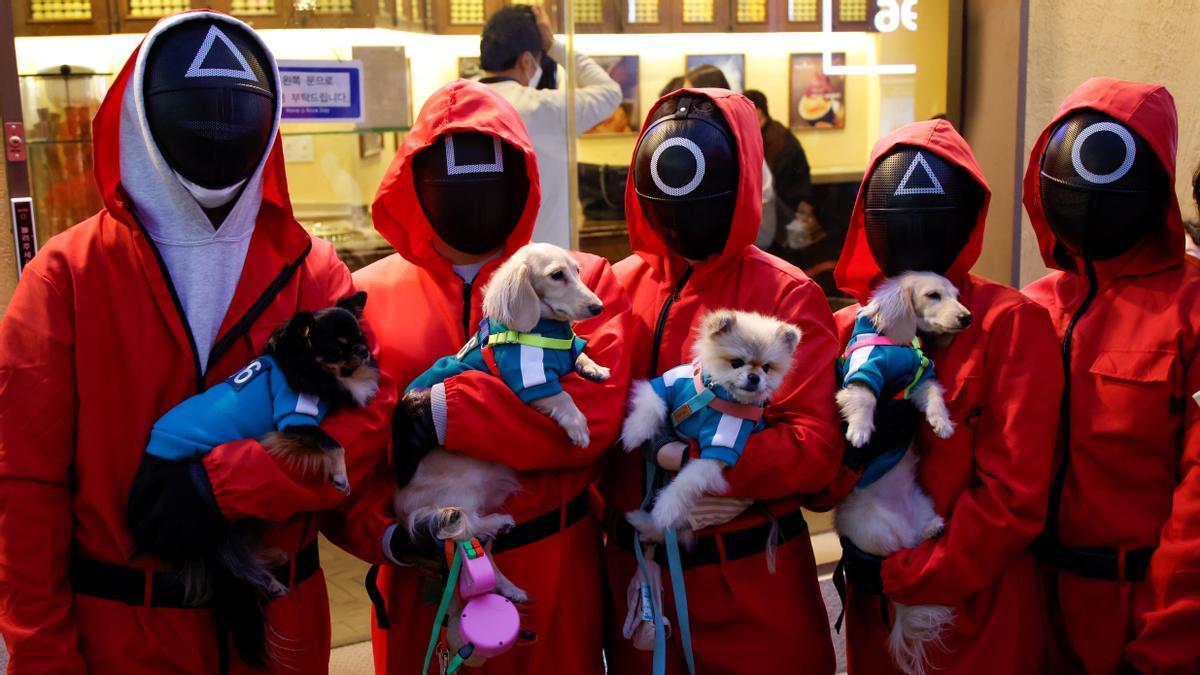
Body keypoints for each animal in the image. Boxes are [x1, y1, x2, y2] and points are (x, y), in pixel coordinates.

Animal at [129, 290, 376, 667]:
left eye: (361, 338)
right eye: (339, 347)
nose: (364, 349)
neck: (306, 367)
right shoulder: (293, 422)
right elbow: (336, 445)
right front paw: (340, 476)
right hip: (208, 520)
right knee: (225, 559)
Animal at [393, 240, 614, 598]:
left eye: (578, 271)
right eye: (557, 275)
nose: (598, 307)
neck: (547, 330)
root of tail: (401, 508)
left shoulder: (565, 351)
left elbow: (578, 354)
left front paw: (594, 367)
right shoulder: (528, 378)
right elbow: (561, 397)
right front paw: (578, 426)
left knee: (477, 550)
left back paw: (509, 587)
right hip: (461, 493)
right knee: (461, 530)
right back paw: (499, 524)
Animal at [624, 309, 801, 540]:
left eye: (766, 368)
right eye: (736, 362)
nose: (755, 377)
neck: (713, 393)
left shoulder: (723, 440)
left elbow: (685, 482)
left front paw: (665, 508)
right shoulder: (668, 384)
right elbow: (651, 403)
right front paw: (633, 433)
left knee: (674, 527)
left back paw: (644, 523)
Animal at [835, 270, 974, 672]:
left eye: (956, 295)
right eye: (933, 295)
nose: (967, 318)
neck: (901, 345)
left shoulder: (920, 380)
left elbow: (934, 398)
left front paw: (942, 424)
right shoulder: (863, 373)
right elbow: (865, 399)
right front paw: (861, 432)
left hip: (922, 507)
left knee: (913, 542)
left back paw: (932, 528)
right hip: (874, 533)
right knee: (893, 554)